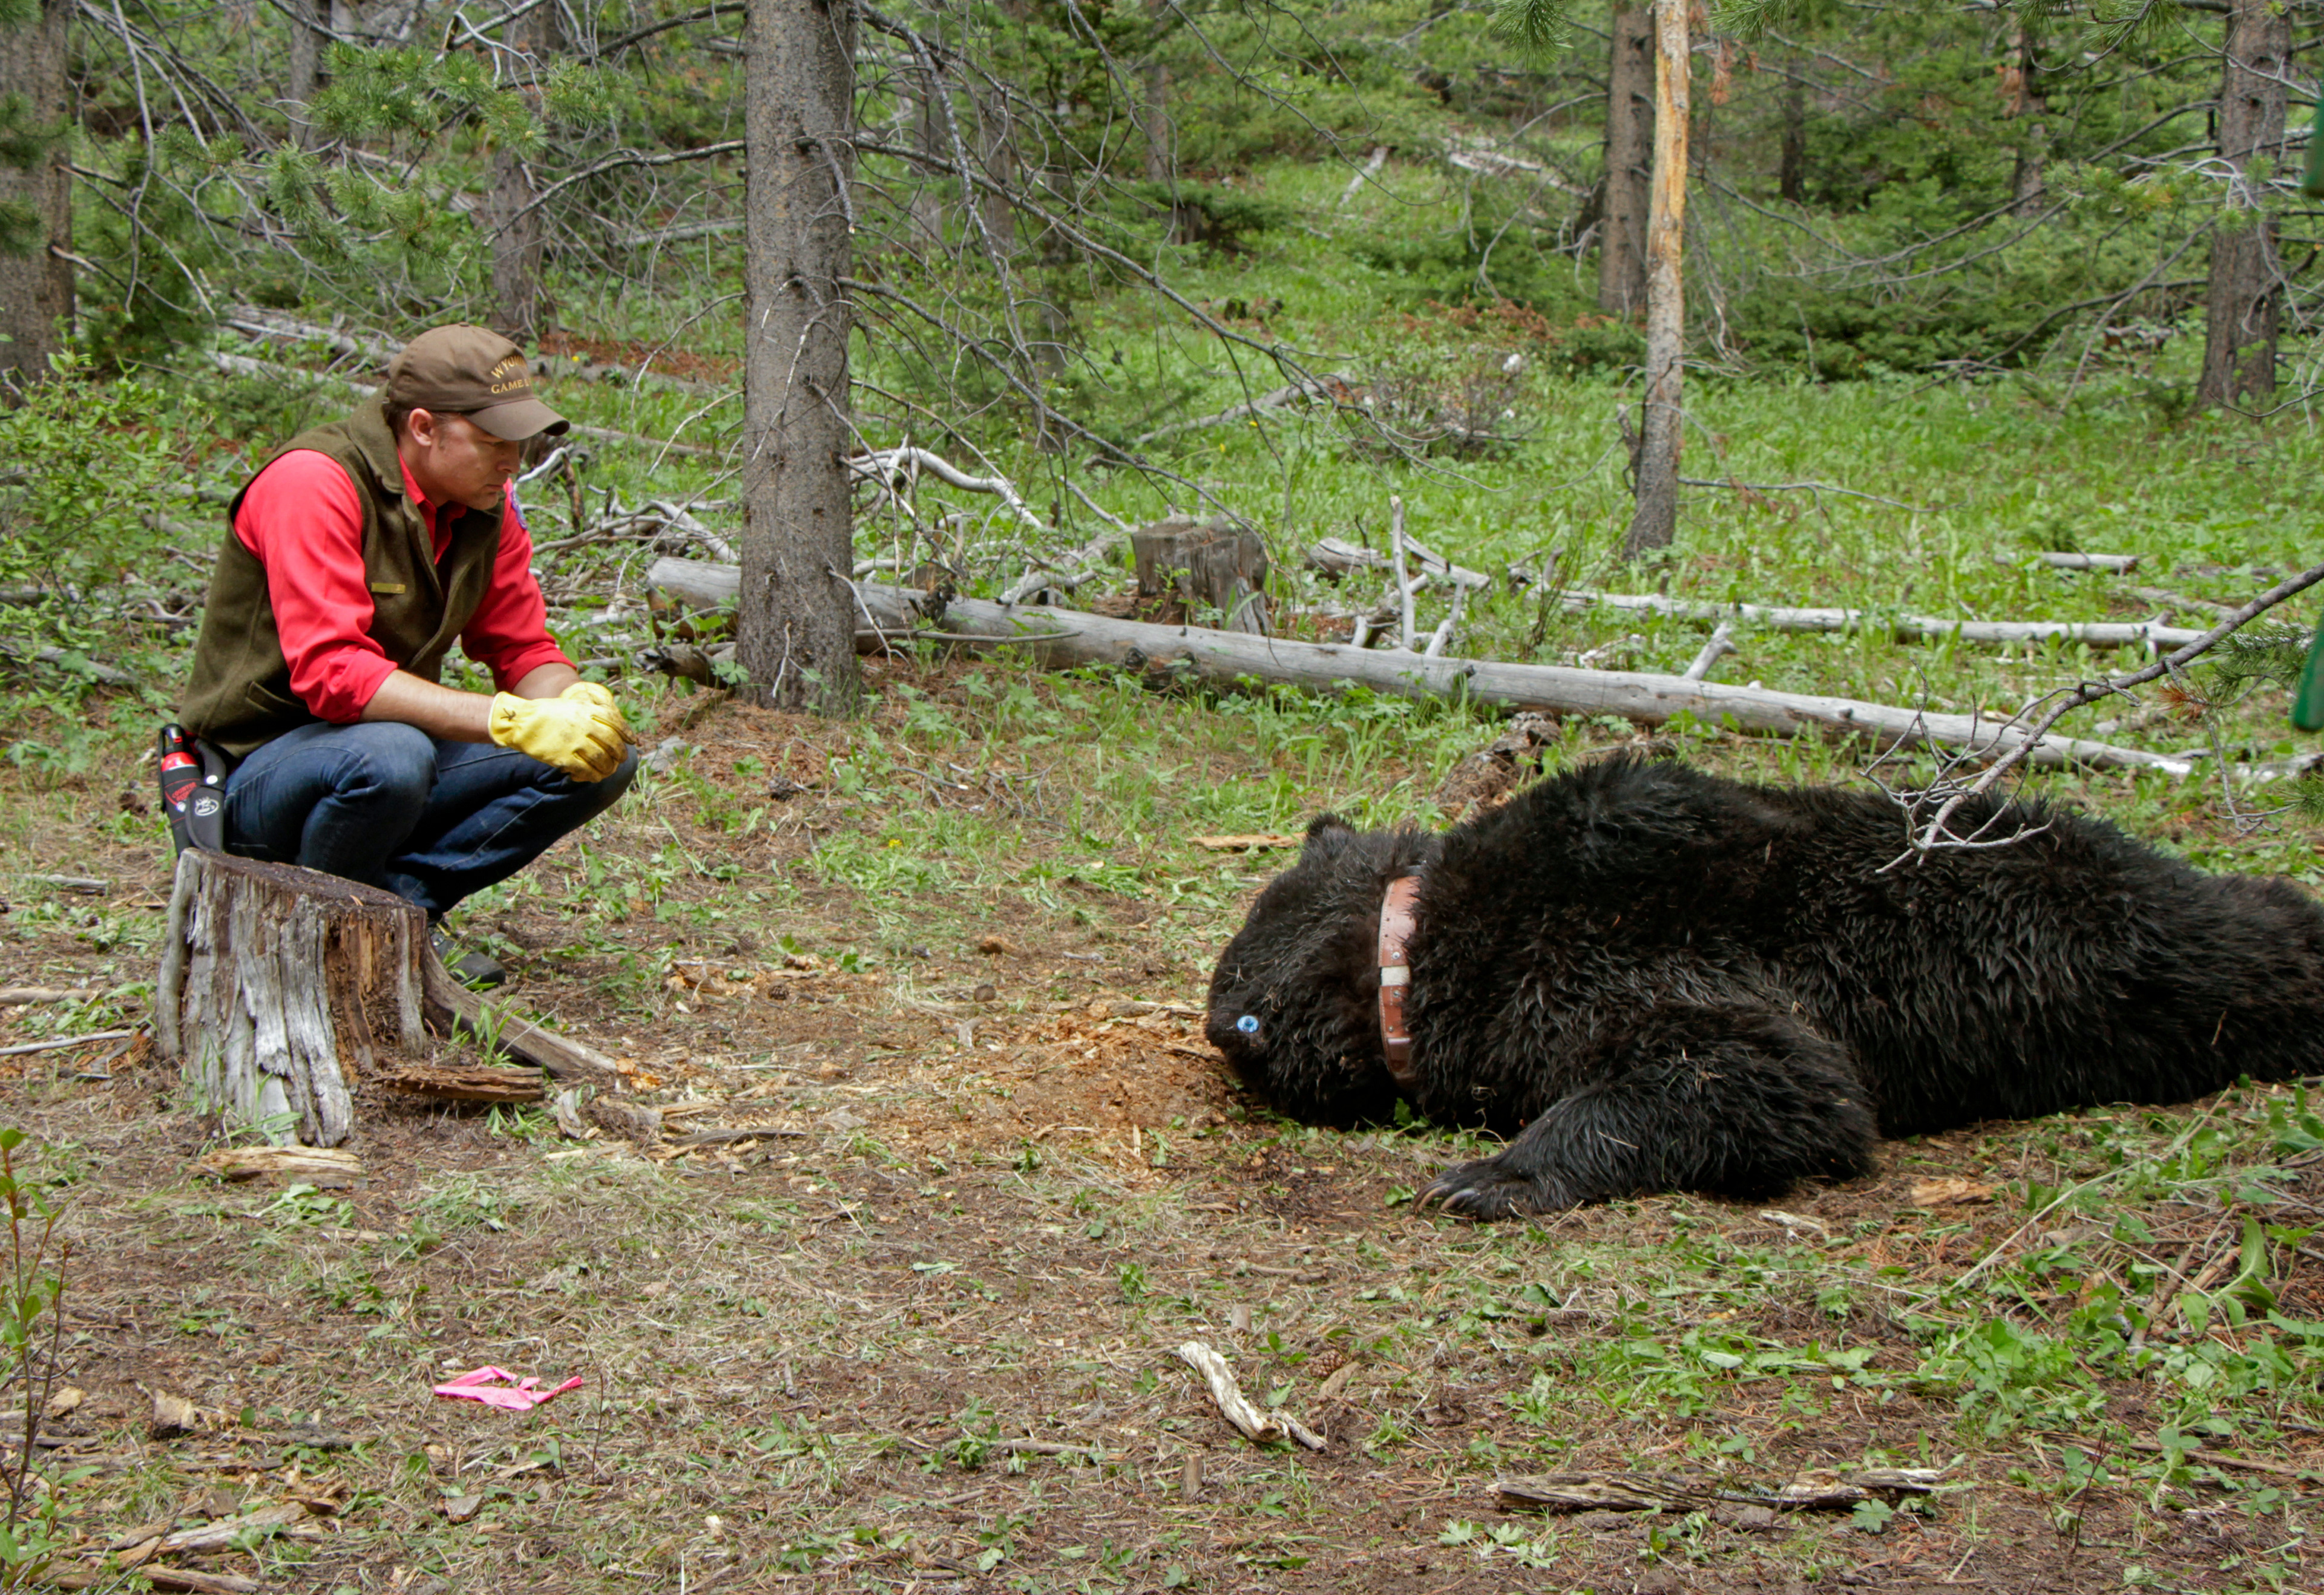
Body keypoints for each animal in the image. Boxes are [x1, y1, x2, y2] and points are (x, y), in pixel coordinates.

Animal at [1205, 754, 2324, 1219]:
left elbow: (1772, 1081)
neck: (1412, 940)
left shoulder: (1594, 964)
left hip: (2145, 953)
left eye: (1250, 1017)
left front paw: (1495, 1174)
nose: (1222, 1027)